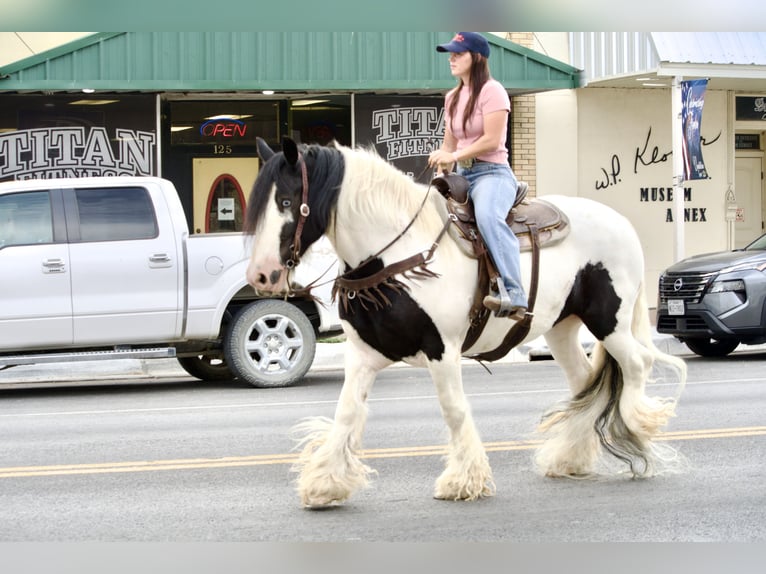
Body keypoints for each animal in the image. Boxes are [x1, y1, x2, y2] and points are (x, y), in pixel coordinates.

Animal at [243, 136, 687, 509]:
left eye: (287, 201)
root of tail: (622, 223)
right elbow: (347, 412)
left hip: (609, 320)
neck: (398, 255)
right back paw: (570, 458)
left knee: (638, 364)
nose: (261, 275)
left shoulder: (443, 349)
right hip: (562, 327)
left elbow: (454, 410)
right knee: (583, 382)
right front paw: (326, 483)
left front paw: (463, 482)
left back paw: (640, 430)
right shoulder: (363, 354)